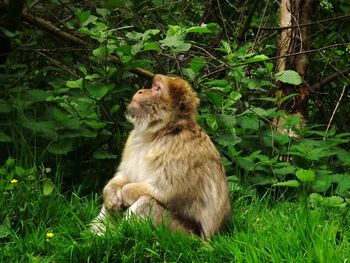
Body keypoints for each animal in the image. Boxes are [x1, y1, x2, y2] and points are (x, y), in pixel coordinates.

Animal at [91, 73, 231, 239]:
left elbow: (165, 191)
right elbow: (125, 175)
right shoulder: (132, 142)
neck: (160, 133)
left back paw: (114, 237)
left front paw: (125, 193)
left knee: (147, 202)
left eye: (157, 89)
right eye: (152, 86)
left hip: (179, 233)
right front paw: (111, 194)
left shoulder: (182, 151)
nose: (141, 90)